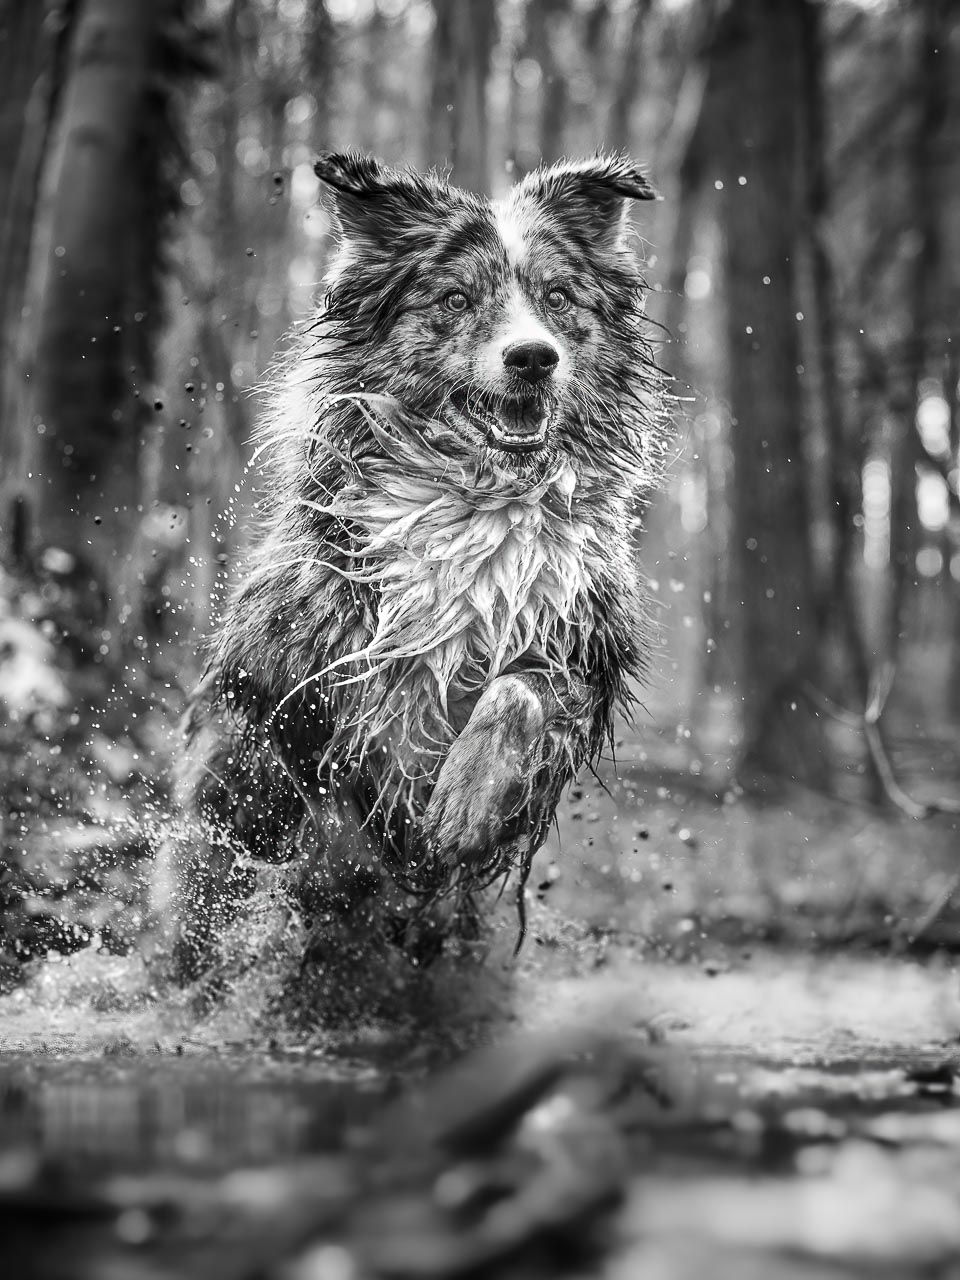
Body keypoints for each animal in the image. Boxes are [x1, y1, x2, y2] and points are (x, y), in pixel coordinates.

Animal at [158, 147, 670, 967]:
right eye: (456, 300)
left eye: (559, 297)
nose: (534, 357)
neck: (476, 498)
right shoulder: (298, 678)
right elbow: (328, 796)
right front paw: (345, 859)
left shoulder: (582, 649)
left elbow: (520, 693)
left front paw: (464, 800)